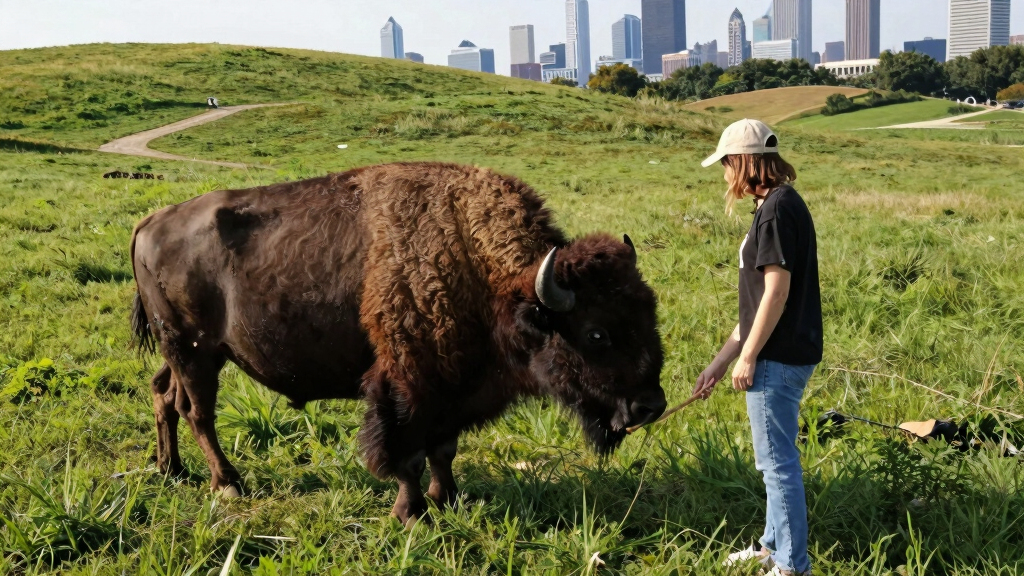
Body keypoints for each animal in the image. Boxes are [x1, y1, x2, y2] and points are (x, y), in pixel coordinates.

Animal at [130, 162, 666, 524]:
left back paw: (171, 471)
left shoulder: (451, 390)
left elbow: (443, 449)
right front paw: (410, 513)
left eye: (649, 314)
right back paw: (228, 485)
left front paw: (448, 499)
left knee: (164, 395)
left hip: (189, 354)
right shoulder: (407, 387)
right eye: (596, 332)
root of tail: (149, 222)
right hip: (194, 351)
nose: (651, 406)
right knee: (197, 411)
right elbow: (406, 454)